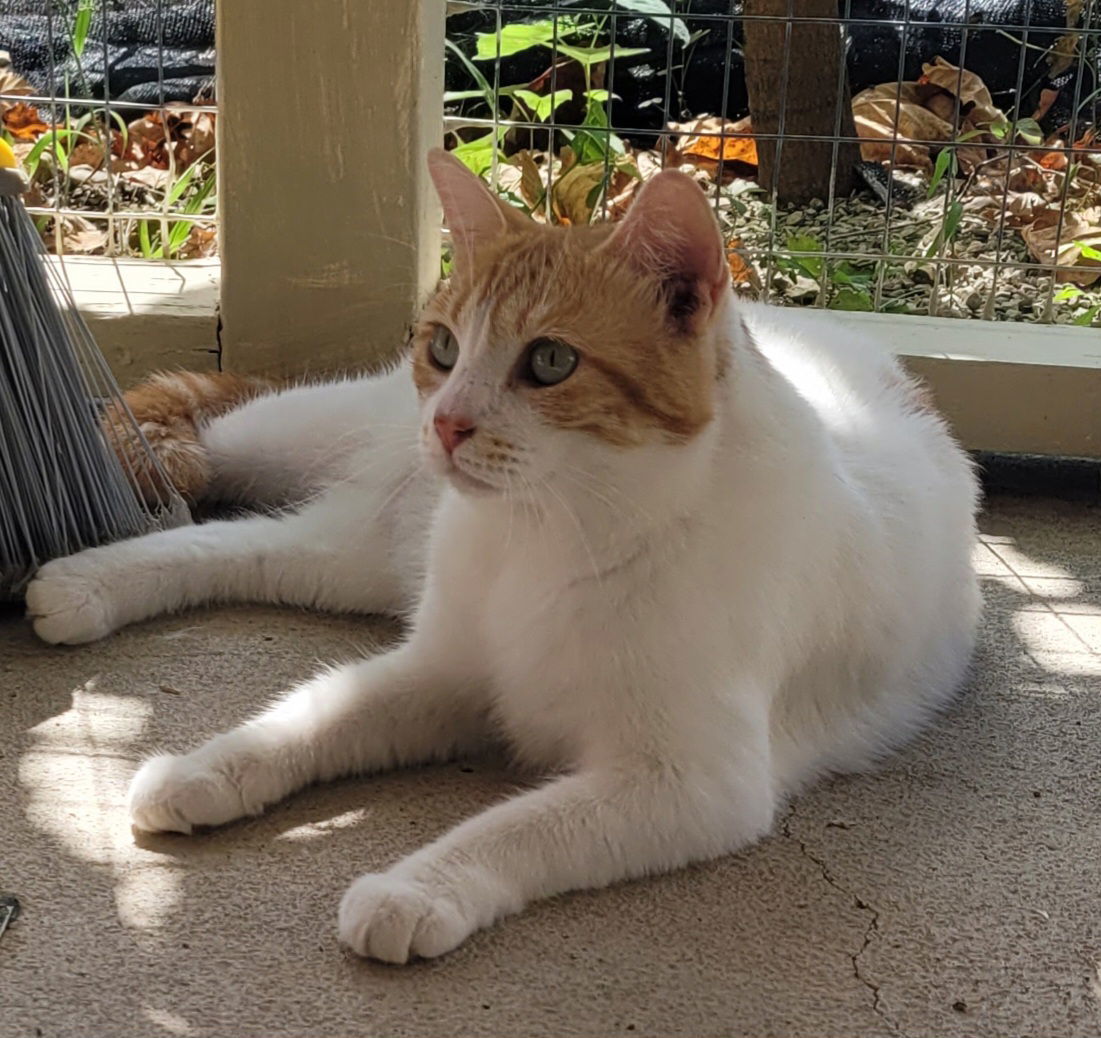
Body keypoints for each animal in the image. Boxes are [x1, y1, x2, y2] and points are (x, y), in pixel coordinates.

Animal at [23, 148, 982, 964]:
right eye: (444, 346)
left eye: (550, 361)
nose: (447, 422)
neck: (547, 535)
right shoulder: (440, 669)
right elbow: (308, 715)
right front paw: (208, 766)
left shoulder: (689, 785)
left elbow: (521, 827)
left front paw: (413, 890)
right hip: (307, 451)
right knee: (205, 463)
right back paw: (82, 577)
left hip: (346, 557)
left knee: (245, 545)